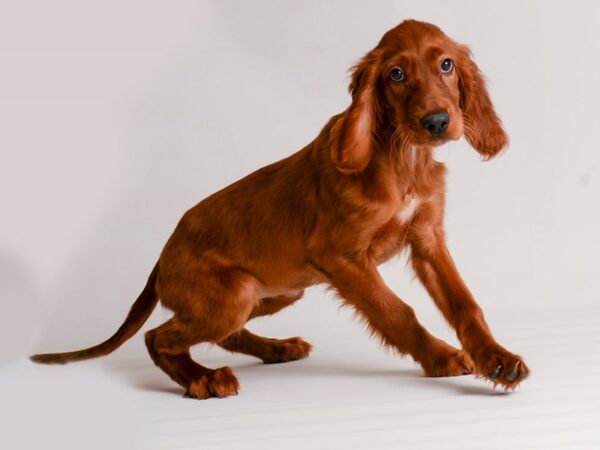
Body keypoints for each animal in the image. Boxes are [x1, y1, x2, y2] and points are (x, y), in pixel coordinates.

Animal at [32, 20, 528, 400]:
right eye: (396, 74)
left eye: (446, 64)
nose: (438, 122)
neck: (403, 160)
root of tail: (161, 258)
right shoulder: (342, 257)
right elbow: (398, 311)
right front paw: (441, 357)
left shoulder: (427, 239)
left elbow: (466, 304)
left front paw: (497, 360)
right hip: (235, 293)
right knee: (159, 336)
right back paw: (203, 379)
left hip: (278, 291)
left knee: (220, 332)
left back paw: (278, 349)